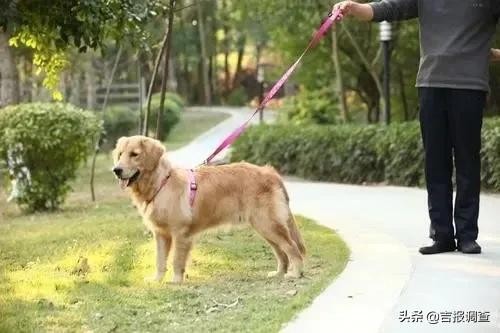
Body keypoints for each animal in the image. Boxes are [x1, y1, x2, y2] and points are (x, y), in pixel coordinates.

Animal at [112, 136, 304, 282]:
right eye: (120, 154)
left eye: (134, 154)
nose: (116, 170)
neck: (161, 183)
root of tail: (270, 172)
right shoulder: (161, 234)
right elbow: (160, 260)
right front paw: (157, 280)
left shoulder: (180, 233)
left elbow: (176, 261)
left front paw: (175, 281)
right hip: (265, 227)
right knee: (281, 252)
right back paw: (279, 273)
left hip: (268, 224)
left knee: (292, 247)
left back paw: (295, 273)